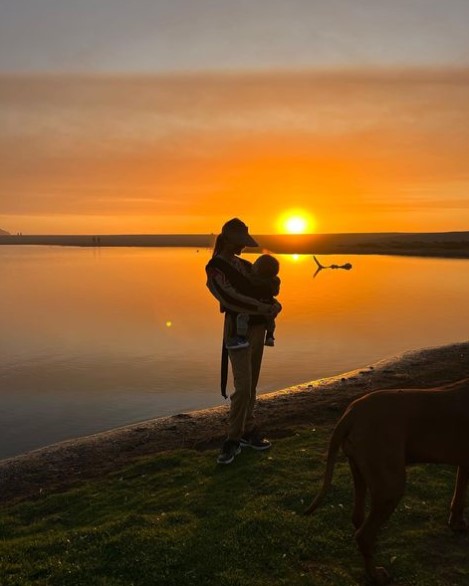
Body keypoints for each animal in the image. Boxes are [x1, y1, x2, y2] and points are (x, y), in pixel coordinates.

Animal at [304, 376, 468, 580]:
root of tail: (351, 414)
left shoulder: (465, 462)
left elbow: (459, 496)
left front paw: (457, 524)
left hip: (359, 469)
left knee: (358, 519)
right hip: (390, 484)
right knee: (364, 535)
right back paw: (375, 575)